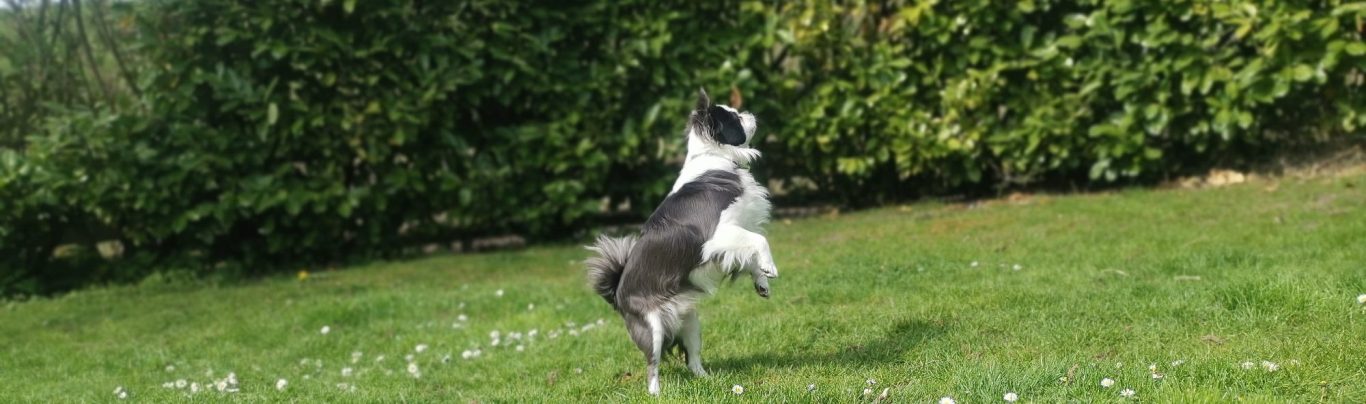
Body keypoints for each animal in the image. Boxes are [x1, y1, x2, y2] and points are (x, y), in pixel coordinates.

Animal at [587, 88, 781, 395]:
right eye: (735, 118)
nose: (750, 113)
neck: (716, 157)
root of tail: (616, 294)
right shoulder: (718, 234)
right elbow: (759, 240)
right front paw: (770, 268)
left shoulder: (728, 241)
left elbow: (749, 253)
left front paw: (761, 282)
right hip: (651, 327)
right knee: (652, 364)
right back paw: (656, 394)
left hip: (690, 322)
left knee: (692, 359)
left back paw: (708, 380)